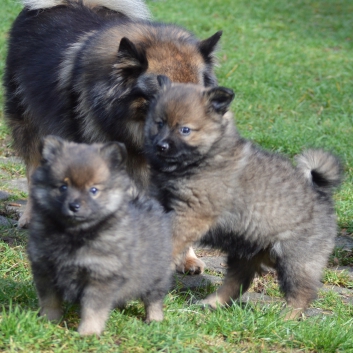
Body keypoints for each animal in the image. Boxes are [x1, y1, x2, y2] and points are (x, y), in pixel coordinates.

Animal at [27, 135, 172, 336]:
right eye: (63, 187)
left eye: (93, 190)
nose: (74, 206)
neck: (75, 233)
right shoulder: (45, 268)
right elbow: (50, 300)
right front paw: (48, 322)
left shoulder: (101, 275)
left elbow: (93, 309)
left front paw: (88, 333)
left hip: (156, 274)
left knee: (154, 298)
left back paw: (154, 319)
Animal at [143, 77, 340, 320]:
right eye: (159, 123)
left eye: (185, 130)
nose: (161, 145)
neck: (205, 156)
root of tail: (321, 195)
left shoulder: (191, 214)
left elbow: (174, 237)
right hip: (245, 250)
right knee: (238, 281)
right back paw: (212, 303)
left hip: (297, 259)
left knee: (301, 293)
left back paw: (284, 319)